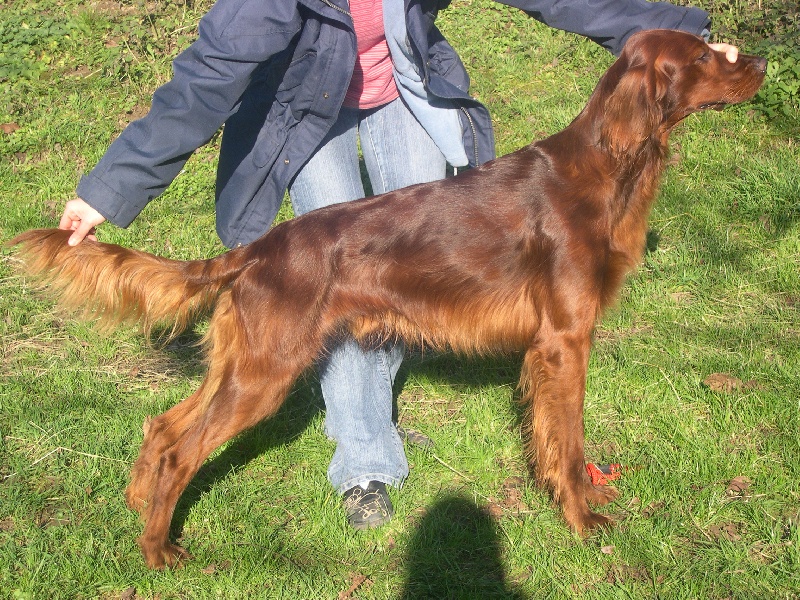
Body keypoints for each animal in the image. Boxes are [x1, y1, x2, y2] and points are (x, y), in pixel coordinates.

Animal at [9, 30, 764, 568]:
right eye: (703, 56)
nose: (758, 62)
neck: (607, 168)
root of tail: (260, 248)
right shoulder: (563, 341)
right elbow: (568, 442)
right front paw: (581, 518)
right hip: (265, 370)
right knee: (179, 447)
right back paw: (159, 550)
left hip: (245, 362)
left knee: (164, 428)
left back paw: (140, 506)